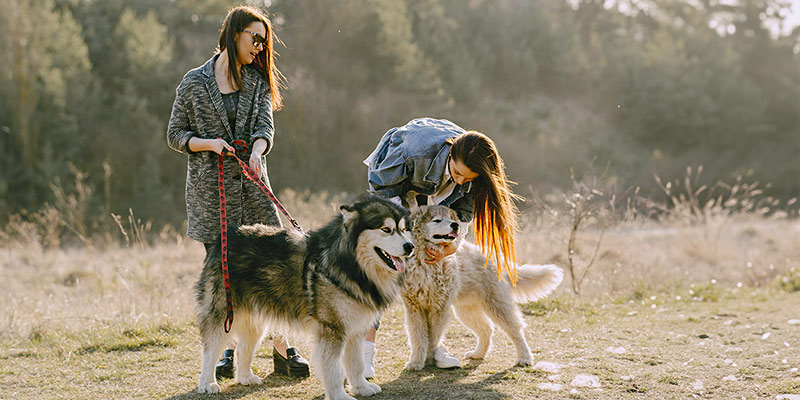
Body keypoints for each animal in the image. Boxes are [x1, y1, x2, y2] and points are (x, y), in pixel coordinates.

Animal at [195, 195, 412, 398]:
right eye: (386, 229)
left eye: (403, 229)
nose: (410, 246)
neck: (351, 264)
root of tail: (226, 235)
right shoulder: (331, 329)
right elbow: (334, 369)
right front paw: (339, 396)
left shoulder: (355, 329)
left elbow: (356, 363)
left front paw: (362, 387)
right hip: (223, 313)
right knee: (209, 350)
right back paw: (207, 383)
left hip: (254, 319)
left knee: (242, 347)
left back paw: (245, 377)